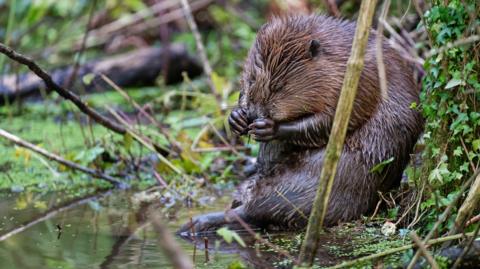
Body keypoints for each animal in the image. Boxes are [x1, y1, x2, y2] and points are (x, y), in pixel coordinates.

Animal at [180, 14, 424, 232]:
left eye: (278, 86)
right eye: (251, 79)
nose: (255, 114)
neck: (340, 55)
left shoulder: (360, 81)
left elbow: (332, 122)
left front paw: (268, 127)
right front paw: (237, 118)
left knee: (252, 211)